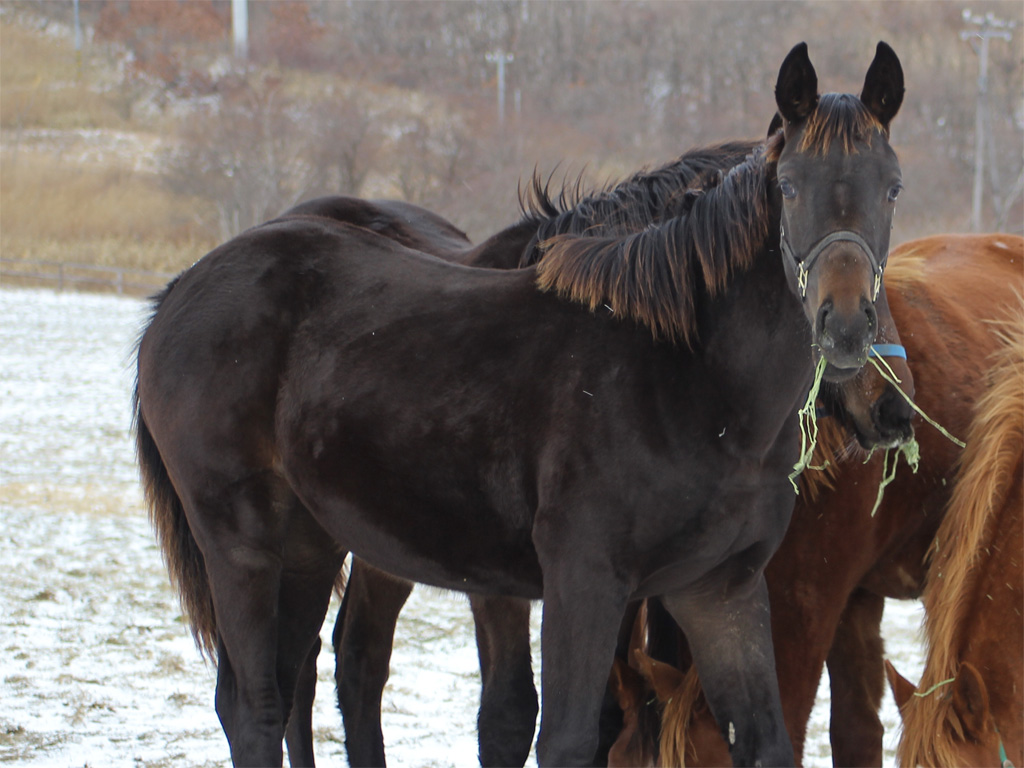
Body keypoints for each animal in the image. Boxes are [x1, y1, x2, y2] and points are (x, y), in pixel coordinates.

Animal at [134, 43, 905, 768]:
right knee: (257, 704)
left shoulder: (720, 591)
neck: (689, 382)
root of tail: (179, 291)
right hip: (242, 544)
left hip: (309, 544)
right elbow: (560, 737)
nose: (847, 331)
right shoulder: (581, 582)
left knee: (290, 682)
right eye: (790, 185)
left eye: (893, 188)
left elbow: (762, 740)